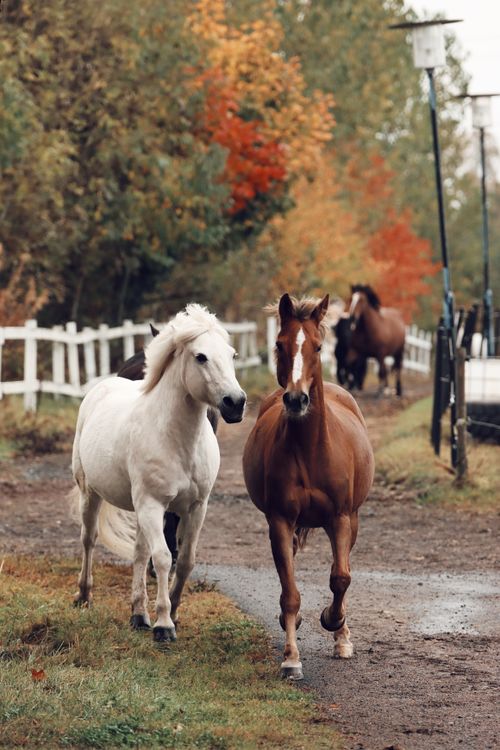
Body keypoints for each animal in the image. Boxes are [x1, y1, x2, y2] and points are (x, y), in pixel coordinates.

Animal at [242, 294, 374, 680]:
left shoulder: (341, 519)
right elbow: (290, 591)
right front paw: (291, 659)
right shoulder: (280, 522)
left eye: (317, 346)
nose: (297, 399)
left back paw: (342, 636)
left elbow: (340, 578)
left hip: (351, 521)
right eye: (279, 344)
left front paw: (334, 623)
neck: (310, 451)